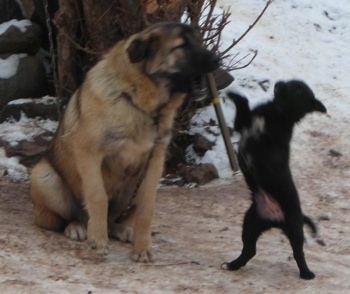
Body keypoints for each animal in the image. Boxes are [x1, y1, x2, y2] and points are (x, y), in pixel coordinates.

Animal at [30, 22, 219, 262]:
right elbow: (98, 196)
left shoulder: (155, 161)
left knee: (114, 218)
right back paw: (77, 227)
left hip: (131, 185)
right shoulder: (89, 153)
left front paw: (142, 247)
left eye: (199, 41)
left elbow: (147, 206)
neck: (139, 102)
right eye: (182, 45)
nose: (217, 59)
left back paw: (121, 230)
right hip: (45, 177)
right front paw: (98, 240)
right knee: (61, 219)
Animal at [223, 79, 326, 280]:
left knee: (298, 252)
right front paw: (234, 94)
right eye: (292, 83)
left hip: (294, 228)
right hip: (250, 222)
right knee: (250, 250)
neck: (277, 111)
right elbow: (243, 105)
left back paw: (306, 273)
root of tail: (274, 220)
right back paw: (233, 264)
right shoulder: (242, 124)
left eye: (299, 90)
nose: (278, 83)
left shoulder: (268, 141)